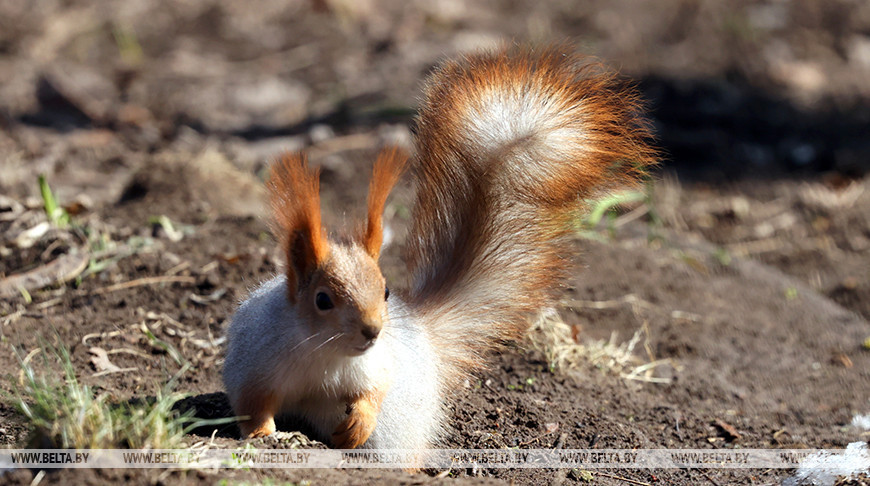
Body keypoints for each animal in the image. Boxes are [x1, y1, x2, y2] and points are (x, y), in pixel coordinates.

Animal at [221, 44, 656, 452]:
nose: (373, 331)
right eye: (322, 300)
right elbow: (253, 405)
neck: (324, 353)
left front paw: (358, 425)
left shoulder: (377, 366)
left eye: (386, 291)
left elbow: (374, 393)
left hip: (400, 425)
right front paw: (262, 435)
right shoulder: (257, 363)